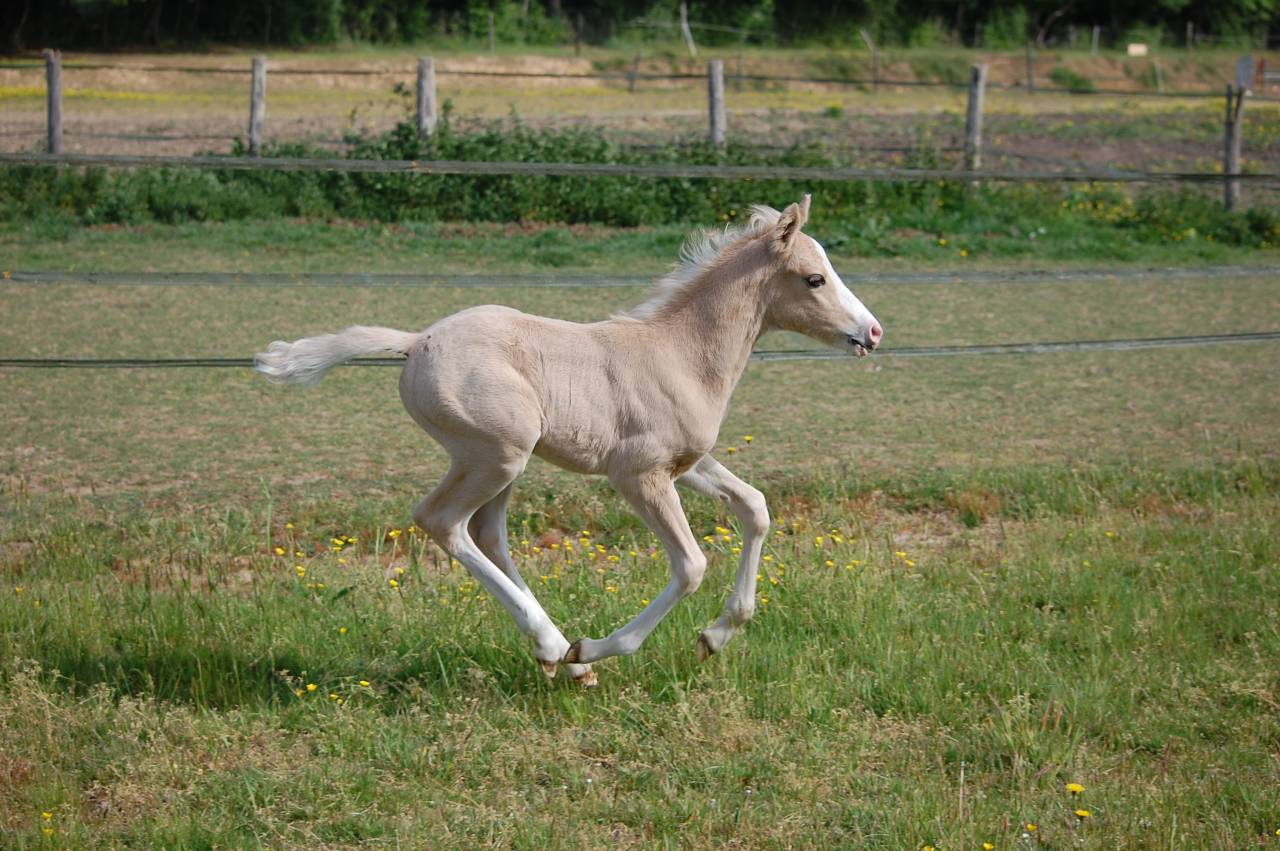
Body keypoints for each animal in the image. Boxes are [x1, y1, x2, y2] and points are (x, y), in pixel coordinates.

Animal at [255, 195, 882, 686]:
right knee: (442, 521)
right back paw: (559, 646)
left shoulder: (688, 463)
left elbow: (755, 507)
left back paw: (562, 659)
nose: (872, 333)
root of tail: (416, 342)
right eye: (815, 278)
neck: (681, 353)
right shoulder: (639, 475)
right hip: (496, 455)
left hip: (499, 462)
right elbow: (690, 565)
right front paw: (604, 646)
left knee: (488, 533)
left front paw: (716, 635)